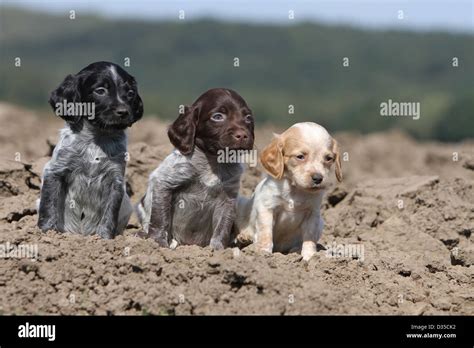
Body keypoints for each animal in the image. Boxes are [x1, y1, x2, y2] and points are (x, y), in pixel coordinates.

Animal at [37, 61, 143, 238]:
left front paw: (104, 239)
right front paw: (47, 233)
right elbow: (49, 206)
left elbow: (109, 214)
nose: (123, 112)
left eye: (130, 93)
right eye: (100, 91)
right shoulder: (55, 171)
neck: (97, 138)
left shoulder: (115, 179)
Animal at [137, 88, 256, 249]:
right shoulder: (164, 182)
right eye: (217, 117)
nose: (243, 135)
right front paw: (157, 243)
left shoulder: (228, 198)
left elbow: (222, 227)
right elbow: (160, 218)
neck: (213, 162)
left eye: (248, 118)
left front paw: (218, 249)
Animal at [236, 121, 340, 260]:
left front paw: (310, 257)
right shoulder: (267, 208)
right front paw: (263, 253)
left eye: (328, 158)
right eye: (300, 156)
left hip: (321, 223)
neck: (295, 190)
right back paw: (245, 237)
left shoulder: (313, 214)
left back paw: (295, 250)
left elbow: (309, 238)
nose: (318, 178)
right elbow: (265, 233)